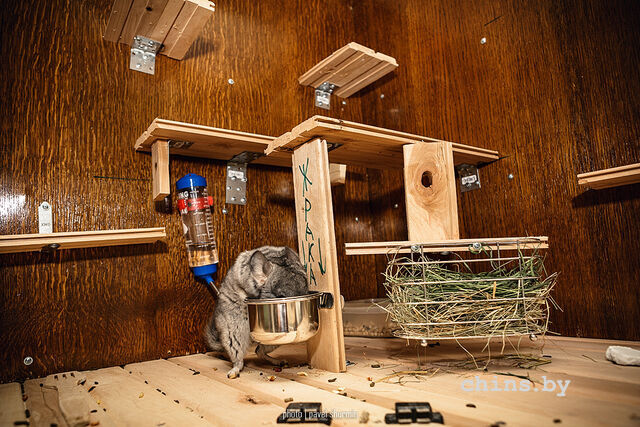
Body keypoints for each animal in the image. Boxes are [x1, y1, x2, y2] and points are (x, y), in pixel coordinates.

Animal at [204, 246, 308, 378]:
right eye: (280, 296)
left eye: (306, 292)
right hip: (234, 333)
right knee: (239, 358)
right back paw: (233, 372)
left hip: (274, 339)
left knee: (259, 351)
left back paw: (278, 361)